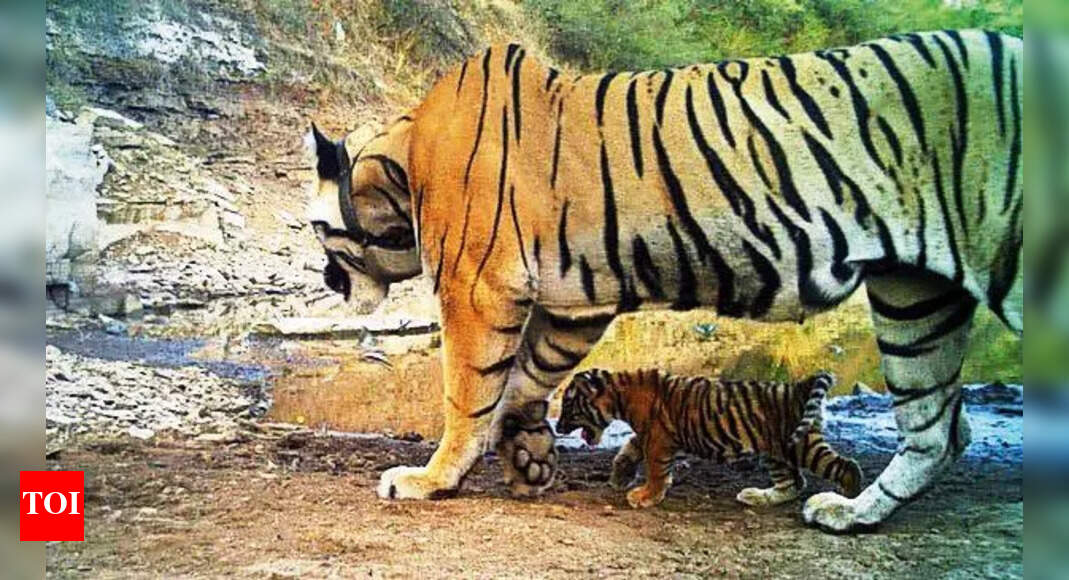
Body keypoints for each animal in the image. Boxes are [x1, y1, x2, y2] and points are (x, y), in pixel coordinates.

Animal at [556, 369, 862, 509]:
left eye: (568, 406)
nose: (557, 426)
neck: (620, 393)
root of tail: (801, 385)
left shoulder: (658, 438)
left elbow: (655, 470)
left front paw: (646, 496)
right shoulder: (652, 435)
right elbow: (627, 451)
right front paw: (619, 478)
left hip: (800, 443)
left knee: (845, 466)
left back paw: (847, 499)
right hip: (775, 451)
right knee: (793, 483)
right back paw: (756, 496)